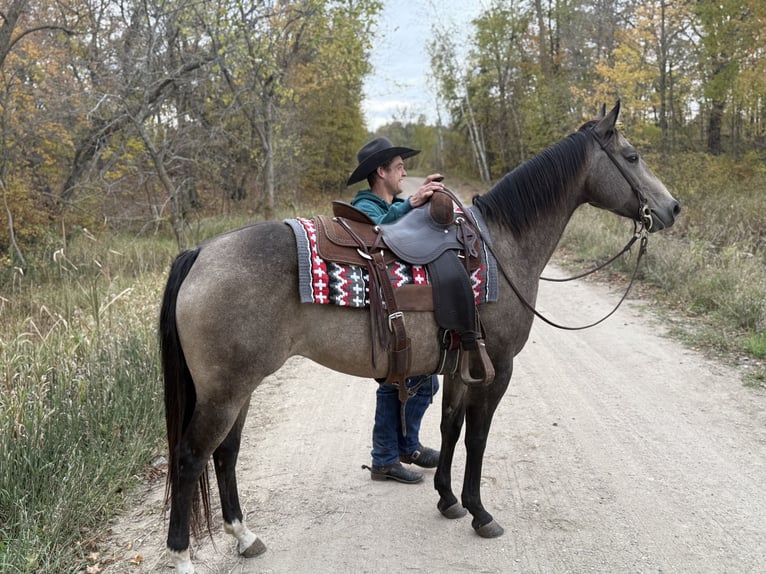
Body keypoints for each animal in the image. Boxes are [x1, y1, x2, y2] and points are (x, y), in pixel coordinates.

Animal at [158, 102, 680, 573]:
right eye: (632, 156)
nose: (672, 208)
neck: (503, 245)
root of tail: (201, 252)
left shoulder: (461, 366)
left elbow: (450, 427)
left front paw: (447, 499)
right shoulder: (498, 367)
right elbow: (478, 437)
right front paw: (479, 511)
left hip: (240, 389)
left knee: (226, 454)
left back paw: (244, 536)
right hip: (224, 392)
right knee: (189, 458)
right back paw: (183, 556)